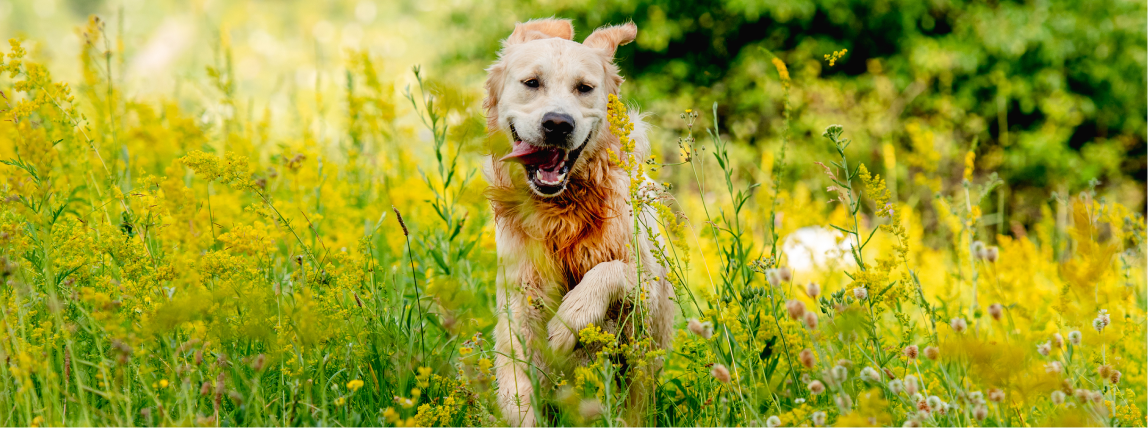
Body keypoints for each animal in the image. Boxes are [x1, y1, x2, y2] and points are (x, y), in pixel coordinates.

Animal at [482, 18, 675, 424]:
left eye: (584, 88)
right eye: (532, 82)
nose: (558, 123)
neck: (564, 213)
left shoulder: (648, 291)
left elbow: (609, 271)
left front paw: (566, 322)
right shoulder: (520, 303)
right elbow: (518, 387)